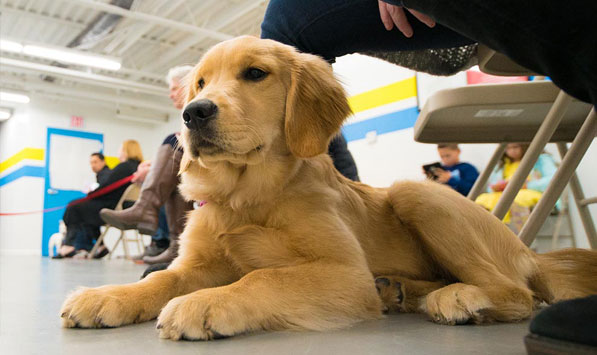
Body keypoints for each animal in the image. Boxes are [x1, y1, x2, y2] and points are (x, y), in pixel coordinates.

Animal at [61, 35, 596, 340]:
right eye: (200, 83)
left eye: (255, 73)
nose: (194, 114)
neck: (247, 197)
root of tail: (531, 253)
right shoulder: (197, 262)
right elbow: (160, 279)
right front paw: (109, 296)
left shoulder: (344, 274)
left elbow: (263, 277)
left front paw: (207, 302)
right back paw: (400, 290)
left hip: (415, 193)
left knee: (519, 294)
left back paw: (461, 298)